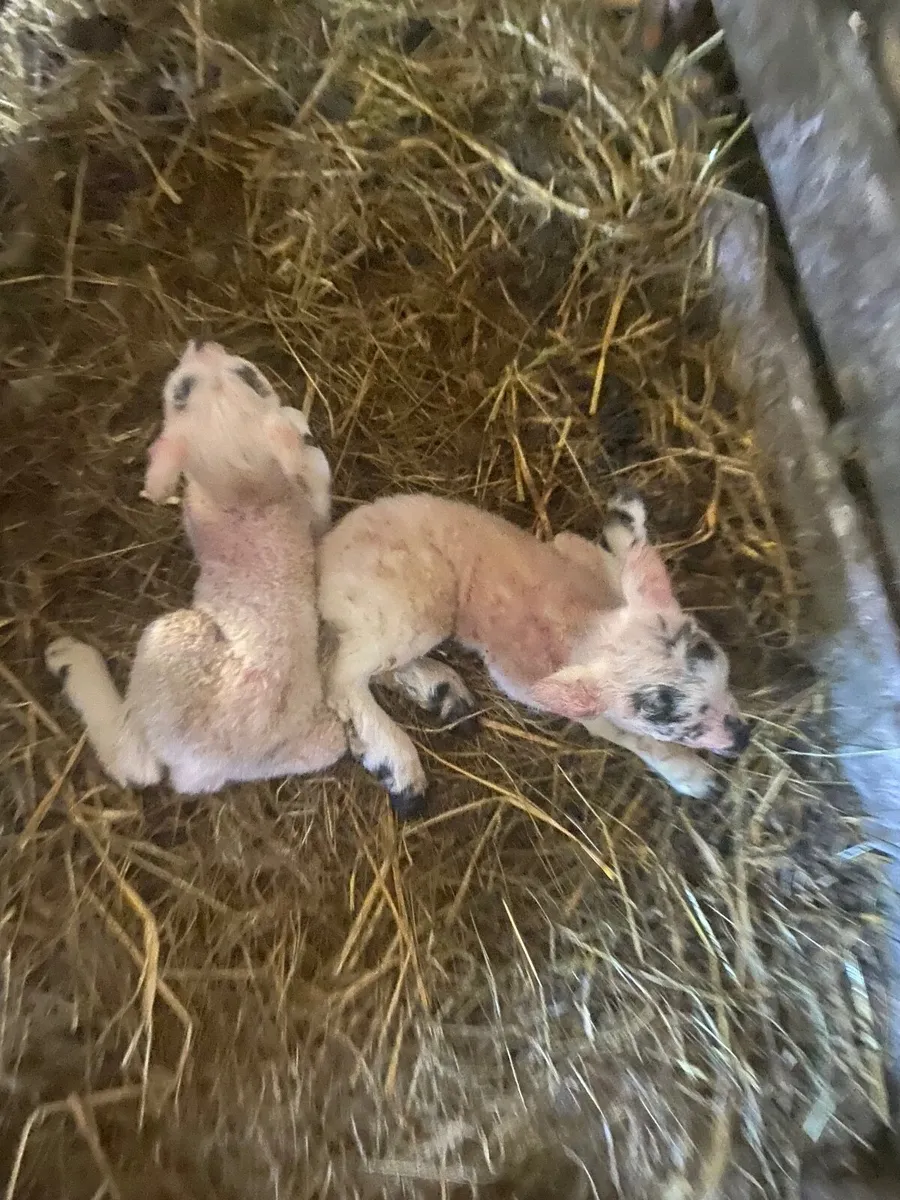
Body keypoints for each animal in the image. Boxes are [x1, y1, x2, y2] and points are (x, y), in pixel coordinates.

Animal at [45, 340, 346, 794]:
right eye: (250, 376)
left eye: (180, 391)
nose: (204, 344)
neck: (246, 490)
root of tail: (211, 767)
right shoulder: (306, 512)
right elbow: (314, 482)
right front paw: (301, 433)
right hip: (320, 742)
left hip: (172, 645)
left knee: (137, 761)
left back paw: (71, 660)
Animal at [319, 490, 750, 818]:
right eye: (659, 712)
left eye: (708, 650)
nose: (742, 737)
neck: (587, 620)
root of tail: (325, 557)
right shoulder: (540, 685)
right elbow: (627, 734)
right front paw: (698, 777)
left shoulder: (577, 553)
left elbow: (613, 559)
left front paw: (624, 520)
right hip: (413, 606)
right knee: (341, 677)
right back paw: (401, 770)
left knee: (365, 666)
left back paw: (443, 695)